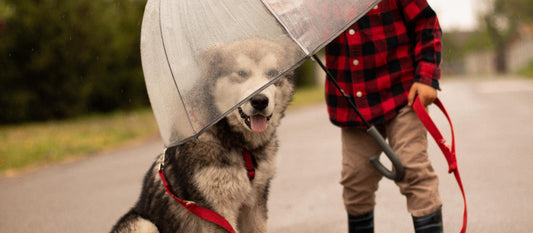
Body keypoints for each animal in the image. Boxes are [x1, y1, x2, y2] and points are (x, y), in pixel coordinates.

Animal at [110, 38, 298, 233]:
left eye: (273, 73)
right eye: (241, 73)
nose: (259, 101)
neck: (241, 148)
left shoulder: (255, 202)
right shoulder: (216, 211)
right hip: (143, 223)